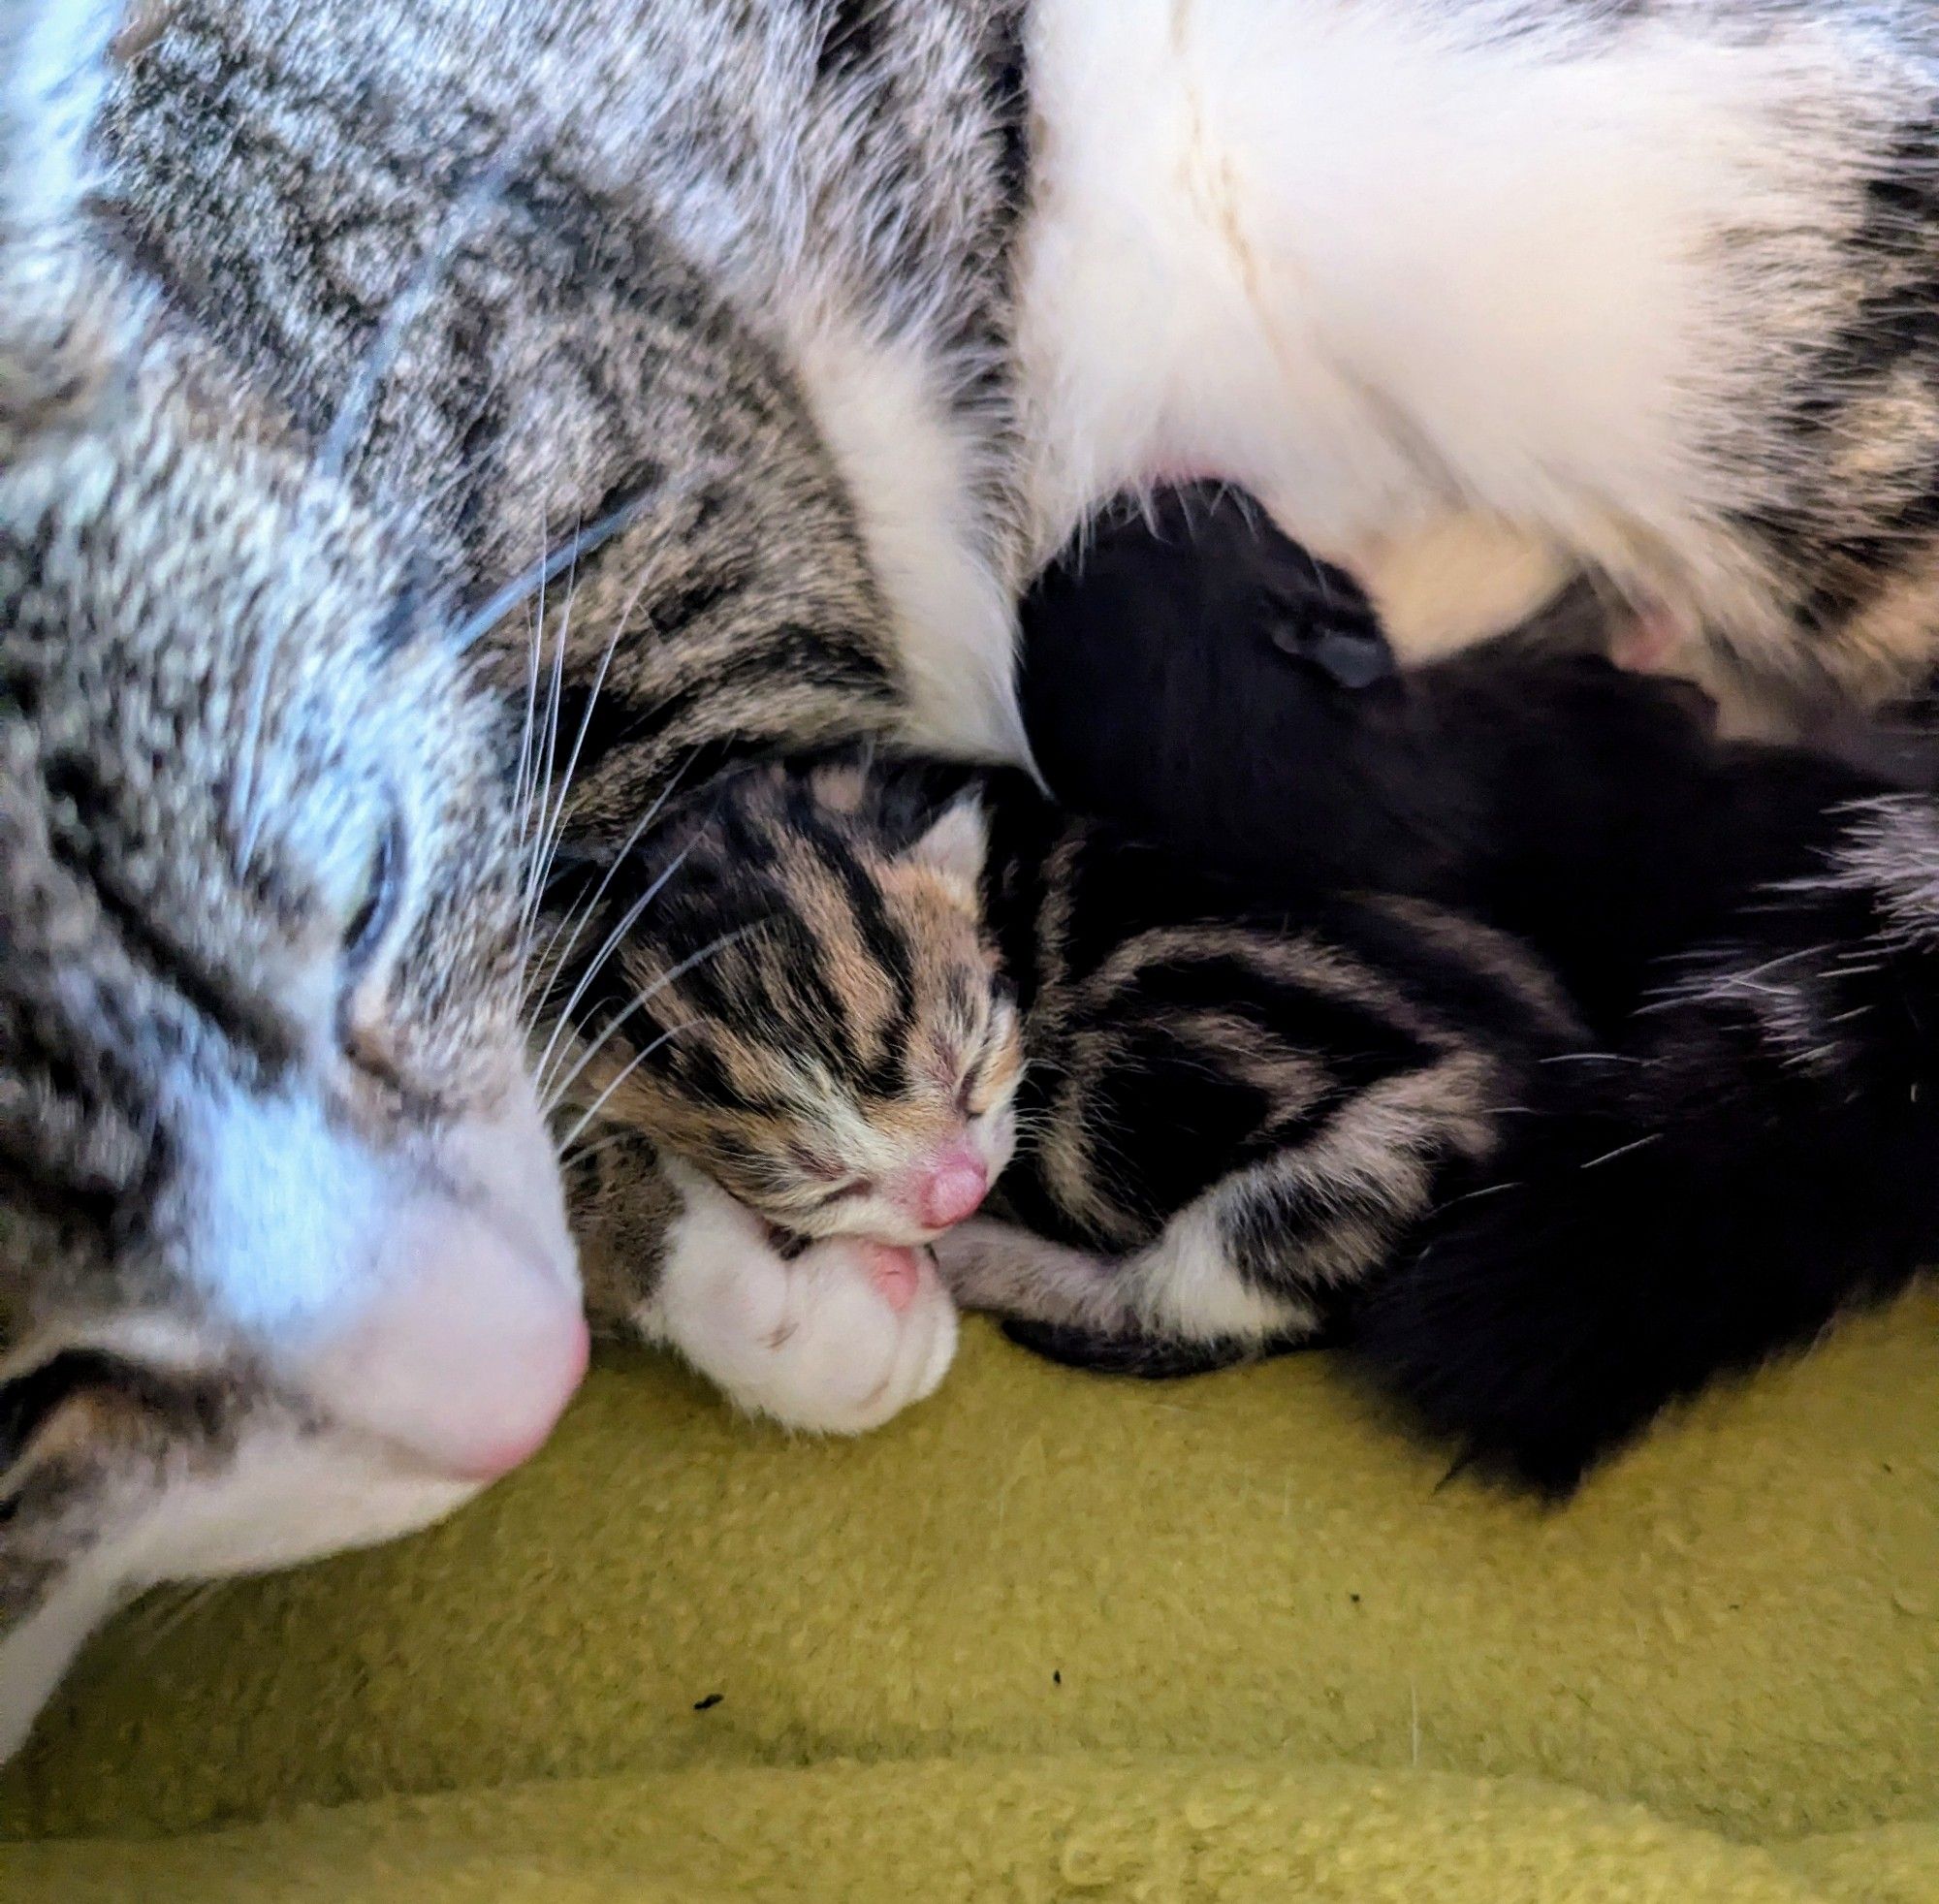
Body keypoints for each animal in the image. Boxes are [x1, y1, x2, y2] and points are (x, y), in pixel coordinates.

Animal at [3, 0, 1939, 1761]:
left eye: (360, 904)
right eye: (44, 1393)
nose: (519, 1380)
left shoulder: (591, 399)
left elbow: (676, 833)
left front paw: (757, 1262)